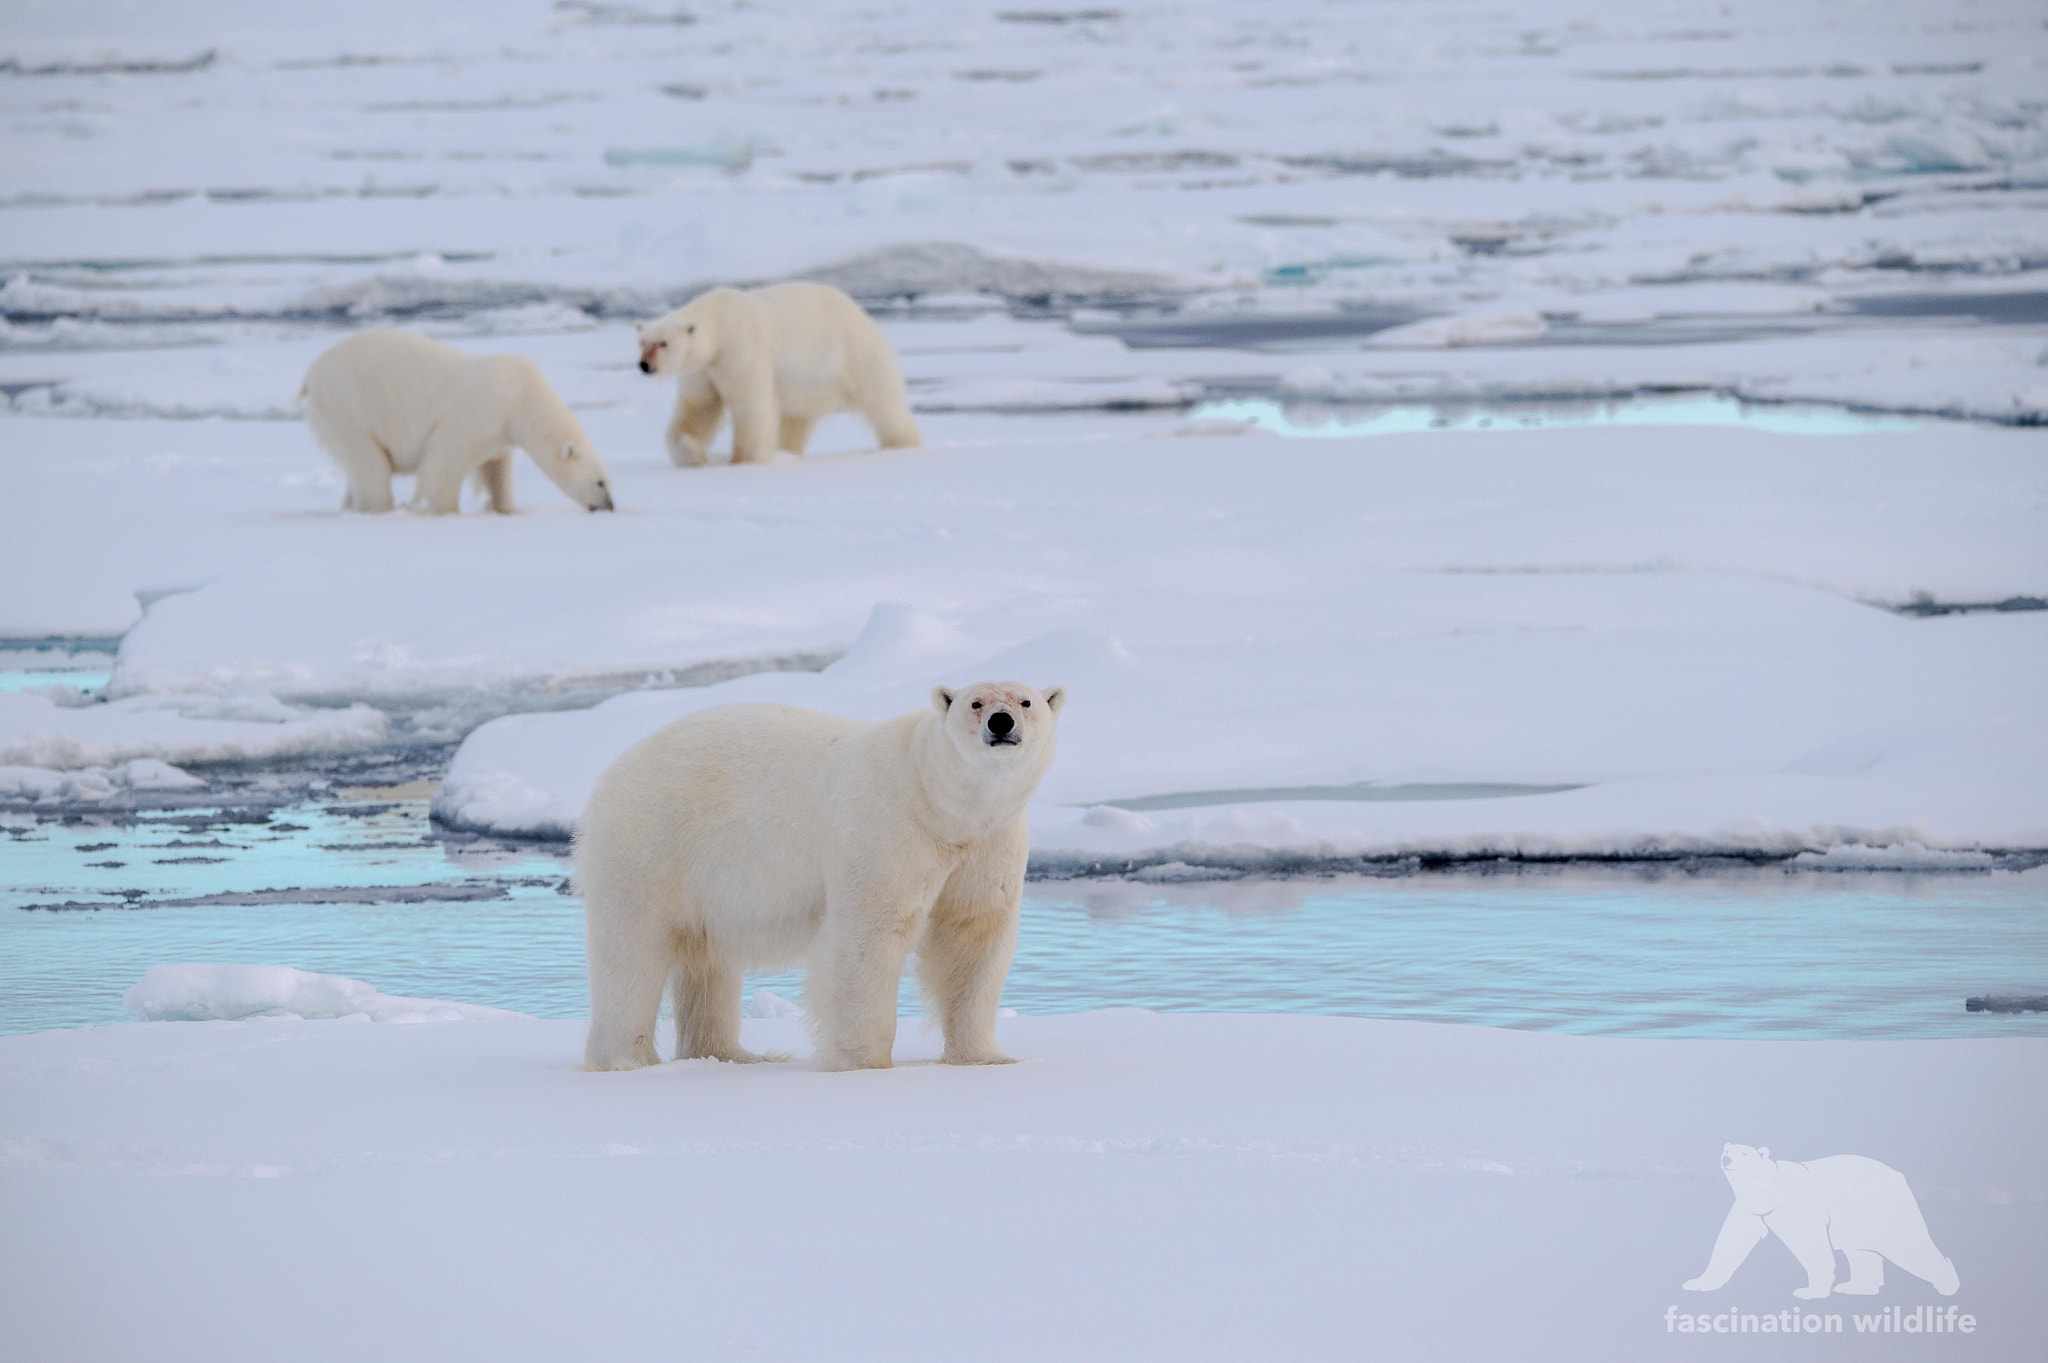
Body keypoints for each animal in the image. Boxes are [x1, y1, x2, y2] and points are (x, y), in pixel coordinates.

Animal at [299, 330, 616, 514]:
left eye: (608, 481)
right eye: (600, 482)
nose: (609, 507)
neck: (523, 395)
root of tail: (312, 373)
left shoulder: (501, 434)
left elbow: (496, 471)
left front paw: (504, 508)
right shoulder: (479, 411)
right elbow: (444, 464)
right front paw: (442, 511)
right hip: (348, 407)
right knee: (371, 466)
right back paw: (381, 507)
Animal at [575, 679, 1063, 1073]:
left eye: (1026, 701)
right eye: (975, 702)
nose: (1001, 722)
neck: (941, 803)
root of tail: (612, 774)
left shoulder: (988, 844)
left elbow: (974, 934)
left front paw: (986, 1057)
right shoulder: (888, 828)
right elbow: (872, 935)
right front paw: (866, 1062)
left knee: (709, 962)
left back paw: (735, 1055)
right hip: (653, 844)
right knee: (633, 951)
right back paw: (628, 1059)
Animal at [635, 281, 922, 466]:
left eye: (663, 343)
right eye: (642, 342)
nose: (645, 365)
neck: (721, 320)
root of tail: (861, 313)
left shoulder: (741, 351)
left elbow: (750, 405)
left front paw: (743, 459)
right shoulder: (702, 371)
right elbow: (699, 408)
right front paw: (692, 452)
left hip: (854, 354)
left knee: (884, 402)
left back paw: (903, 444)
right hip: (809, 385)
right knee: (796, 420)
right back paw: (788, 452)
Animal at [1682, 1144, 1959, 1299]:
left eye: (1744, 1152)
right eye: (1726, 1151)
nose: (1727, 1160)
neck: (1770, 1191)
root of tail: (1899, 1176)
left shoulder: (1798, 1207)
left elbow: (1811, 1246)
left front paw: (1809, 1291)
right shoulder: (1750, 1209)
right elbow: (1731, 1242)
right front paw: (1698, 1283)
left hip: (1882, 1210)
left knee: (1908, 1246)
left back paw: (1948, 1284)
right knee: (1861, 1252)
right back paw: (1855, 1287)